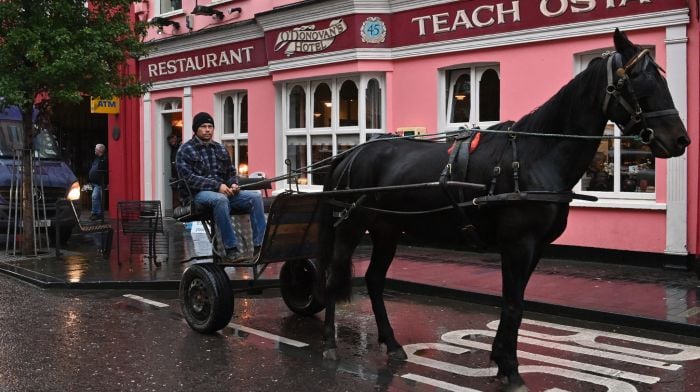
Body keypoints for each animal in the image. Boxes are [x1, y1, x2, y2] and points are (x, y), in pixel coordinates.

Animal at [316, 29, 688, 390]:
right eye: (639, 82)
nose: (681, 140)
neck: (536, 155)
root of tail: (349, 155)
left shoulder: (535, 248)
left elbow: (515, 302)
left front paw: (500, 359)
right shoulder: (518, 244)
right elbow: (513, 303)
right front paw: (510, 368)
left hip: (387, 230)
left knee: (375, 280)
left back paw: (392, 343)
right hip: (350, 227)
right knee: (334, 276)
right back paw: (329, 343)